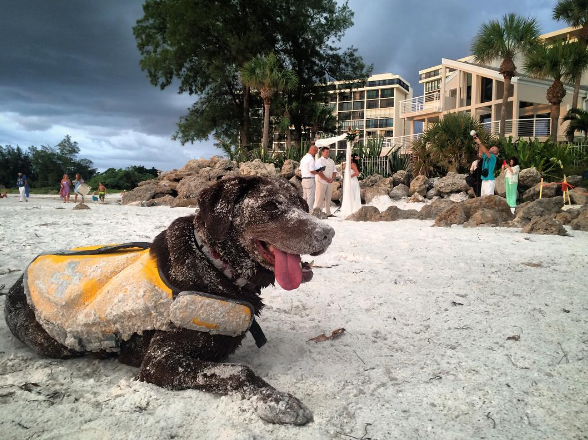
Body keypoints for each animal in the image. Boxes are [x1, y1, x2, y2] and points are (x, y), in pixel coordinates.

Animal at [4, 176, 336, 426]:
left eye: (302, 205)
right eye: (270, 206)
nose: (328, 232)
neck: (213, 262)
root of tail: (18, 279)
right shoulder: (159, 360)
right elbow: (238, 370)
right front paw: (278, 401)